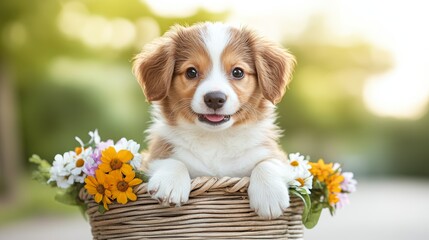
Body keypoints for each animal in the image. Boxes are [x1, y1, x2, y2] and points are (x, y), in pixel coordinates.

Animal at [133, 22, 294, 219]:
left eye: (238, 72)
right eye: (191, 72)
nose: (215, 99)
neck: (216, 138)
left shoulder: (278, 157)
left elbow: (268, 162)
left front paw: (269, 194)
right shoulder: (151, 158)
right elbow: (171, 161)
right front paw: (170, 182)